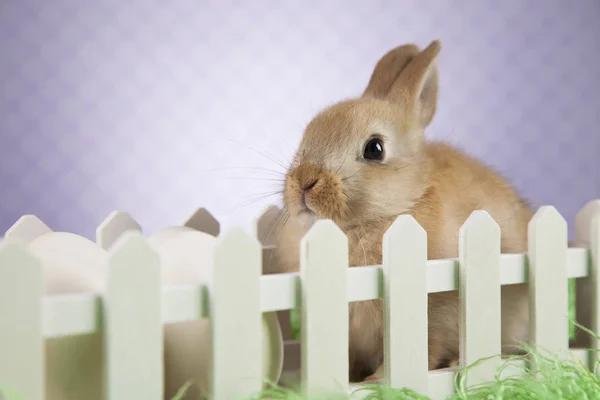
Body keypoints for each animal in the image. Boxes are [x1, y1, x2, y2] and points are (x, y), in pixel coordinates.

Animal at [270, 39, 532, 382]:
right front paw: (352, 379)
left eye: (375, 149)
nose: (304, 181)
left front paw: (377, 381)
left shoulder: (433, 317)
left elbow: (424, 350)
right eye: (307, 134)